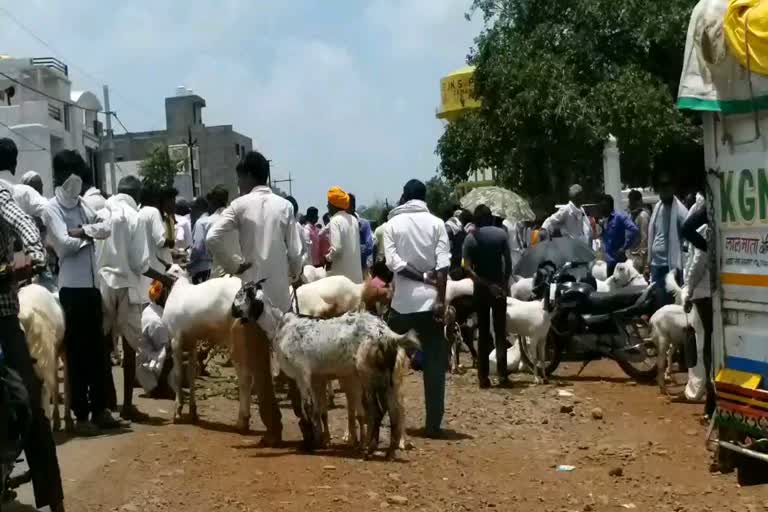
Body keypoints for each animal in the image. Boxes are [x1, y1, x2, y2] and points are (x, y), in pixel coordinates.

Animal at [163, 264, 243, 424]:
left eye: (175, 270)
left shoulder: (176, 340)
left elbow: (178, 374)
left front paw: (178, 409)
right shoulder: (192, 343)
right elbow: (191, 375)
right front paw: (192, 411)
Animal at [231, 280, 420, 460]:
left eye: (240, 294)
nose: (232, 311)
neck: (279, 325)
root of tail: (387, 334)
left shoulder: (302, 373)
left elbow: (307, 406)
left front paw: (311, 445)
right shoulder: (317, 377)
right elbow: (317, 410)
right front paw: (320, 440)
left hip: (368, 375)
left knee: (377, 411)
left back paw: (369, 450)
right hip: (388, 377)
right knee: (394, 412)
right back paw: (389, 452)